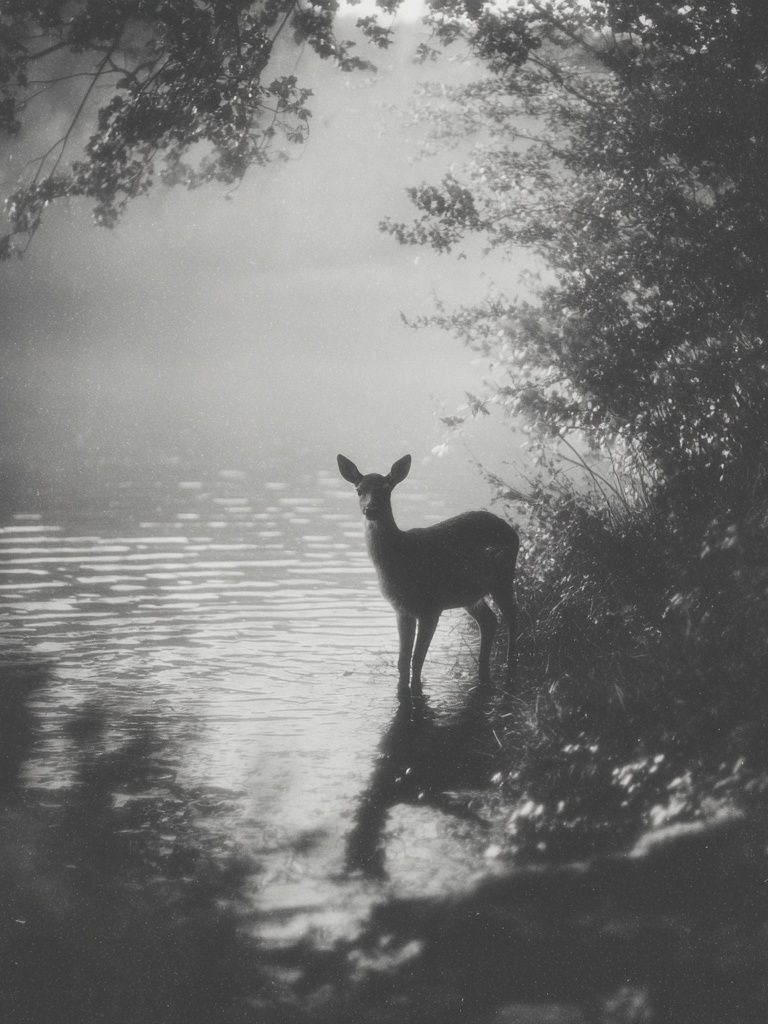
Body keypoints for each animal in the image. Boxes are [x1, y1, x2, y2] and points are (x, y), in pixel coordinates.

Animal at [337, 453, 519, 695]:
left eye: (386, 489)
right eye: (359, 490)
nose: (370, 509)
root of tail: (514, 533)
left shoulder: (431, 606)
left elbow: (418, 659)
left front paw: (417, 689)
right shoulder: (401, 609)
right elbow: (403, 661)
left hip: (503, 577)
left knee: (513, 616)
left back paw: (511, 666)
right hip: (469, 593)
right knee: (489, 620)